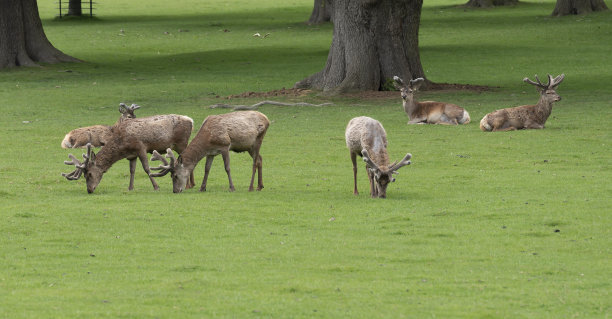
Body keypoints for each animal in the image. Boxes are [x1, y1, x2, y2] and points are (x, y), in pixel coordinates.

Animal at [62, 115, 194, 195]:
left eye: (89, 174)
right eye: (84, 175)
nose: (89, 190)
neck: (122, 147)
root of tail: (191, 121)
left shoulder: (141, 147)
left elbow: (146, 168)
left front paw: (156, 187)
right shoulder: (132, 155)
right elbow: (132, 170)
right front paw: (130, 188)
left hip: (181, 143)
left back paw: (188, 185)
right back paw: (191, 184)